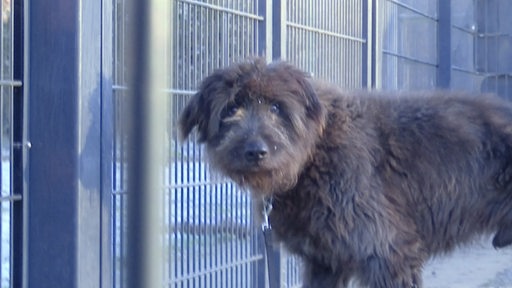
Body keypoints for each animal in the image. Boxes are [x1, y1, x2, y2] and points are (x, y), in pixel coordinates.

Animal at [178, 57, 512, 286]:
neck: (315, 153)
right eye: (230, 109)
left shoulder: (387, 253)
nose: (255, 151)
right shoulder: (324, 262)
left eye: (276, 108)